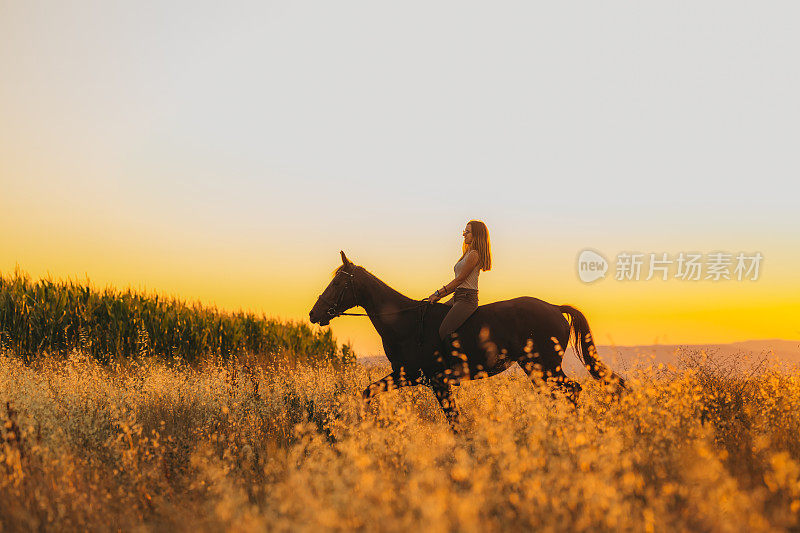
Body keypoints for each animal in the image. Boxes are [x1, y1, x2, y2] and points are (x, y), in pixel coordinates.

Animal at [310, 251, 628, 430]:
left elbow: (454, 420)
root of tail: (554, 307)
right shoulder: (407, 375)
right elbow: (367, 392)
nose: (314, 314)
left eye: (338, 282)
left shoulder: (434, 380)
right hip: (538, 369)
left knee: (572, 391)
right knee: (564, 393)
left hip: (544, 367)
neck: (405, 321)